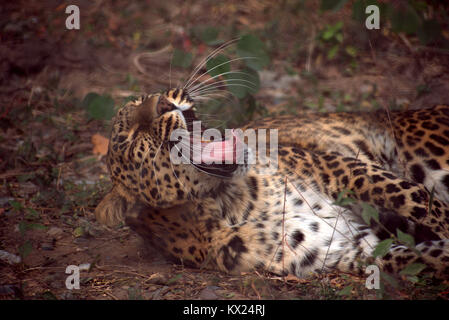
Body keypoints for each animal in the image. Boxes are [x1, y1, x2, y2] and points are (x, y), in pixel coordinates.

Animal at [94, 88, 448, 280]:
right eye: (130, 138)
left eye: (144, 98)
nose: (164, 103)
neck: (230, 199)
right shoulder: (345, 248)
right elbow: (425, 255)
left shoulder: (338, 169)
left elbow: (414, 197)